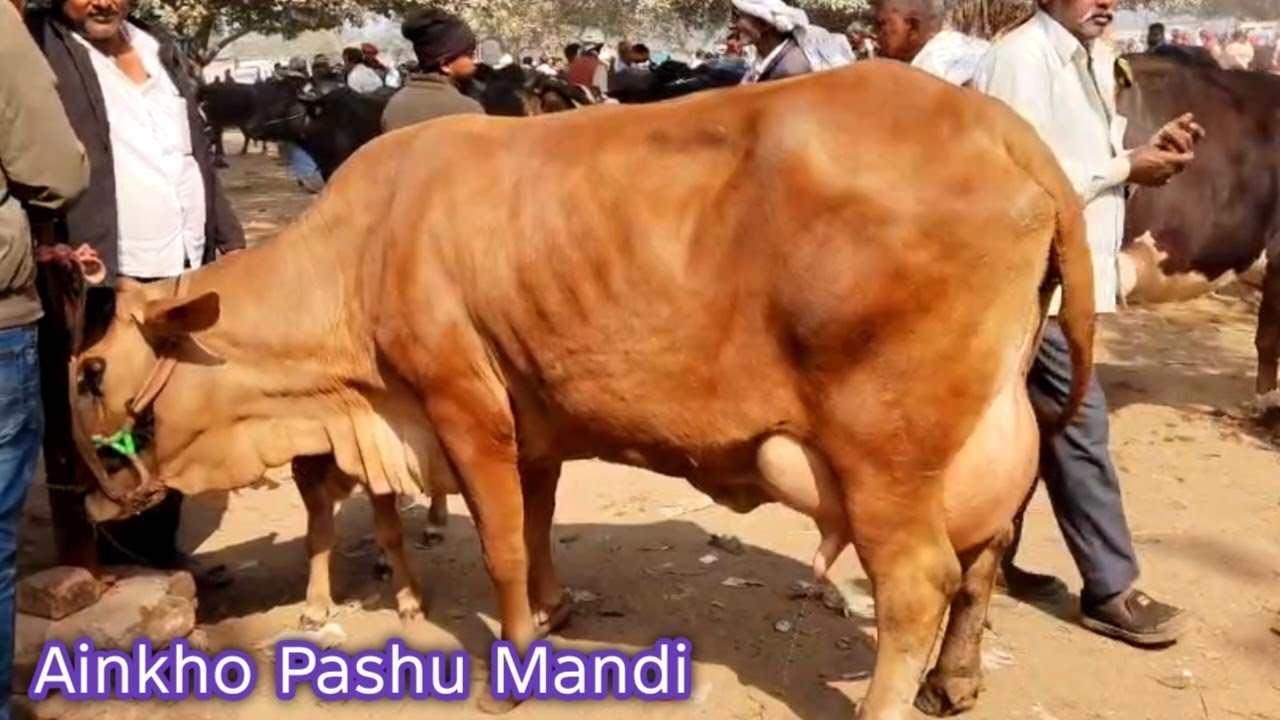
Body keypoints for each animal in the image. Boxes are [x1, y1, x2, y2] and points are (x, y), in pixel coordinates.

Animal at [63, 61, 1093, 720]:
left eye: (89, 371)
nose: (93, 490)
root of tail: (995, 123)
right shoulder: (535, 414)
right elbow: (541, 522)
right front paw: (556, 613)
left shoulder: (463, 405)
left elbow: (502, 547)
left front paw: (511, 669)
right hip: (983, 434)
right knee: (988, 553)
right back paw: (953, 682)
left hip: (882, 449)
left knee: (919, 583)